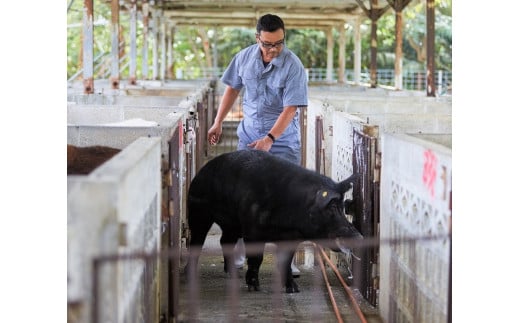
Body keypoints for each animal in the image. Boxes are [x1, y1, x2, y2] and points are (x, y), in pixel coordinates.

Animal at [186, 151, 362, 294]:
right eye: (331, 207)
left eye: (342, 207)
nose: (358, 236)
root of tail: (201, 172)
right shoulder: (252, 231)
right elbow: (257, 258)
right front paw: (254, 287)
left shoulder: (291, 238)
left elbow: (286, 261)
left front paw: (293, 290)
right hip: (198, 212)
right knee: (196, 241)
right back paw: (189, 274)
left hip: (232, 225)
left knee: (225, 241)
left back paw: (232, 274)